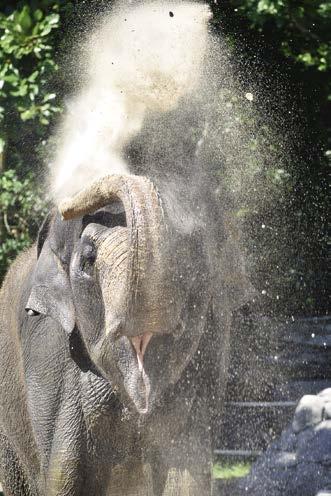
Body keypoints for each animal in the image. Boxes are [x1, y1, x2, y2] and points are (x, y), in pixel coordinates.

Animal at [0, 169, 252, 494]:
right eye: (88, 261)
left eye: (186, 259)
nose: (65, 204)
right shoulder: (49, 356)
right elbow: (61, 478)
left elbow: (187, 477)